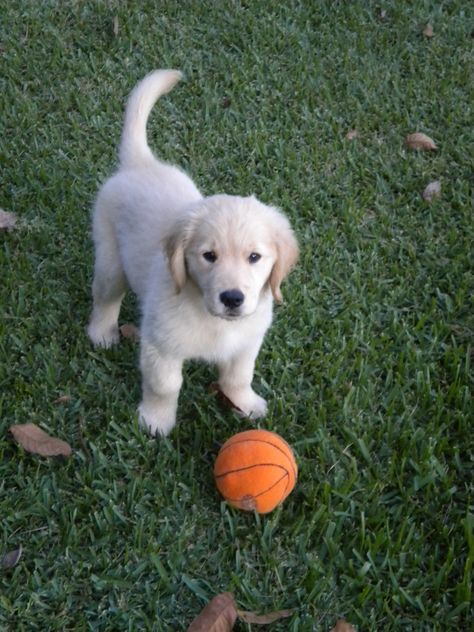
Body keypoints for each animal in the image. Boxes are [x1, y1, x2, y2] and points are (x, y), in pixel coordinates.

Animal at [88, 70, 296, 434]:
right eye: (208, 256)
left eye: (254, 257)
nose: (232, 298)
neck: (211, 317)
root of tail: (142, 164)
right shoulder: (161, 345)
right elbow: (165, 385)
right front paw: (156, 421)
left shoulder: (247, 341)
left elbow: (239, 376)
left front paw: (246, 405)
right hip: (111, 260)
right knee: (105, 297)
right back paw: (101, 334)